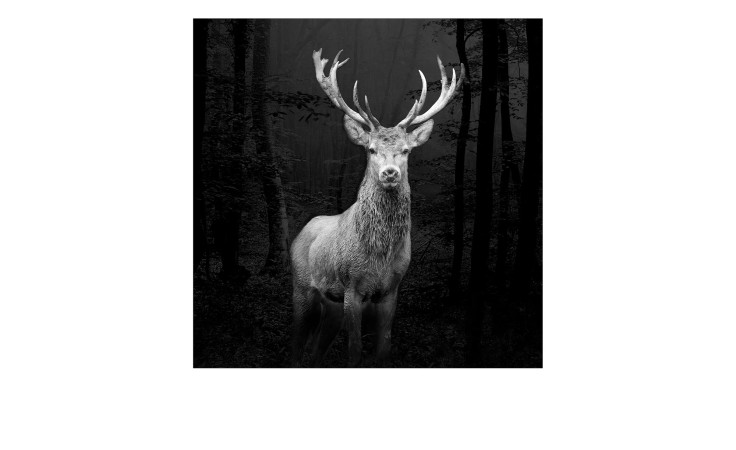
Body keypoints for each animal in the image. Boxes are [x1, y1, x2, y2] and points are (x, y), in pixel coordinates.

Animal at [290, 48, 464, 367]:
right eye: (371, 149)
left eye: (406, 150)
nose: (390, 173)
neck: (379, 257)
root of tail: (300, 233)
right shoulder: (351, 286)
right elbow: (355, 351)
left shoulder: (391, 290)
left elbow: (383, 349)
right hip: (302, 287)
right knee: (296, 342)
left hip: (330, 304)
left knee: (316, 348)